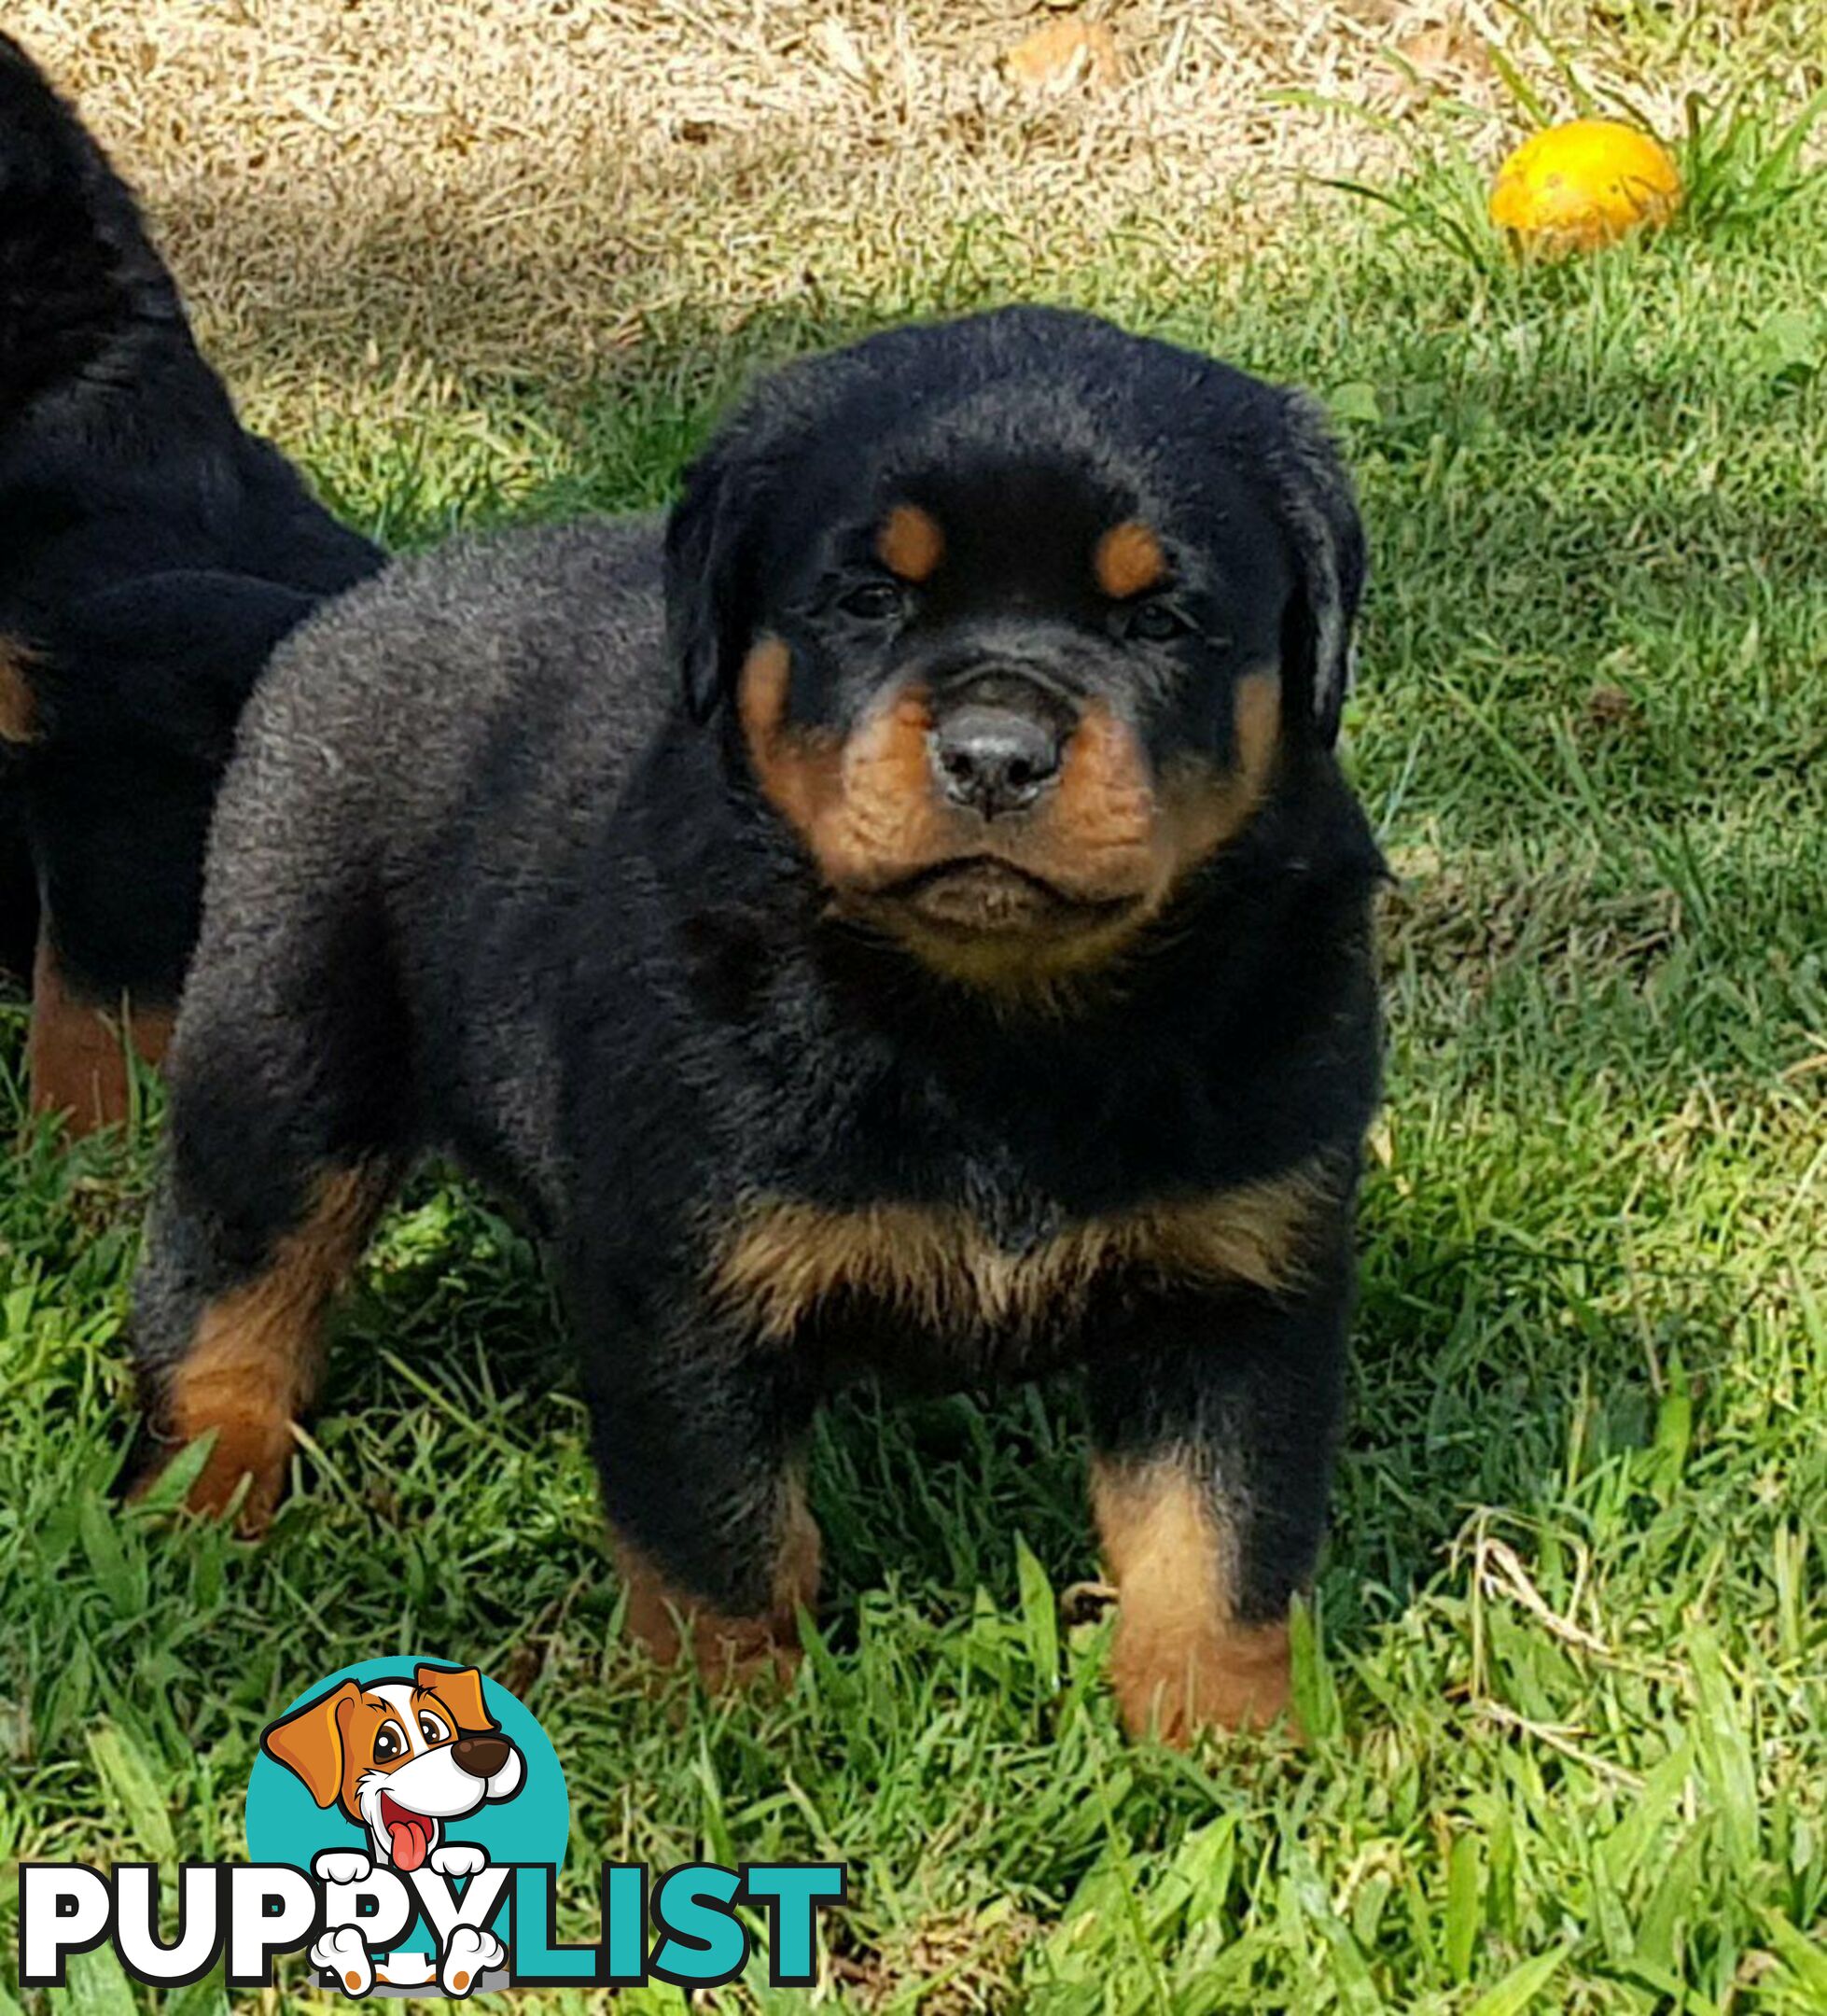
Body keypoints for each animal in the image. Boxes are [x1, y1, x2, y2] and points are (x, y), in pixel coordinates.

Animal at [132, 310, 1379, 1749]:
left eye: (1162, 618)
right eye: (867, 600)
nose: (994, 755)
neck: (997, 1019)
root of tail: (359, 604)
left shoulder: (1242, 1275)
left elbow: (1218, 1535)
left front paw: (1227, 1739)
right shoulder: (682, 1271)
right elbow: (717, 1524)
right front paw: (725, 1718)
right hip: (282, 1034)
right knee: (229, 1280)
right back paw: (200, 1491)